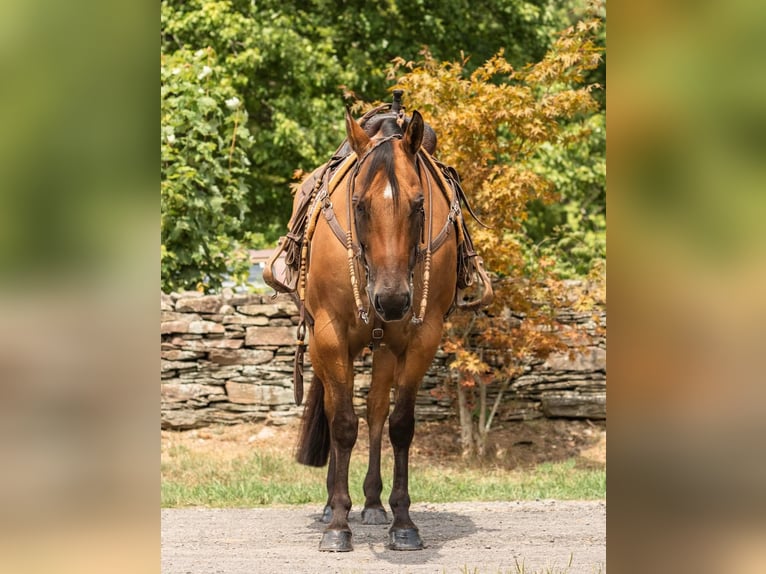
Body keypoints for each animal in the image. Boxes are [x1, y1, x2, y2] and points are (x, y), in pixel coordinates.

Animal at [292, 106, 488, 552]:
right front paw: (337, 524)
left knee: (376, 411)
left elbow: (400, 424)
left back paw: (372, 503)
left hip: (383, 347)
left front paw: (402, 522)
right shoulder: (329, 336)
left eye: (419, 205)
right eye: (359, 206)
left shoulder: (422, 338)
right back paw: (331, 506)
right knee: (336, 410)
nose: (393, 299)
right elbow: (342, 424)